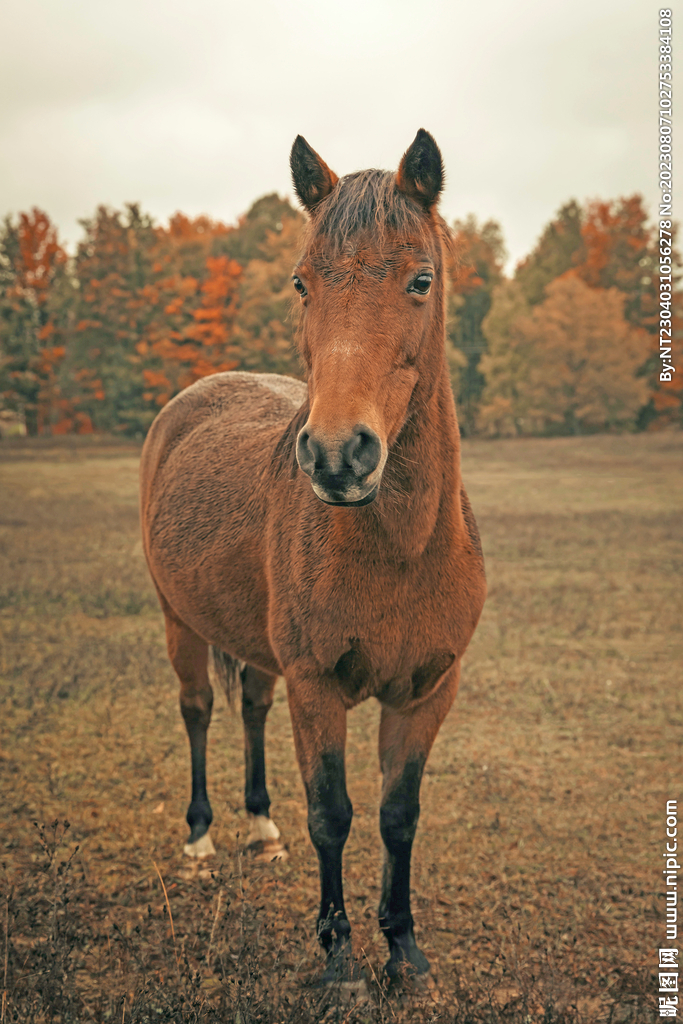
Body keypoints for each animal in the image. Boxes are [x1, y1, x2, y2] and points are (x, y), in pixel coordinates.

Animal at [139, 129, 487, 989]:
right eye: (302, 281)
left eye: (420, 280)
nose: (335, 455)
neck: (399, 551)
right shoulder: (318, 687)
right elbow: (332, 814)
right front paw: (338, 956)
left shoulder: (427, 691)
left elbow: (398, 817)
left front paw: (402, 946)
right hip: (179, 622)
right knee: (198, 710)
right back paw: (201, 837)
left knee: (252, 708)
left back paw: (260, 829)